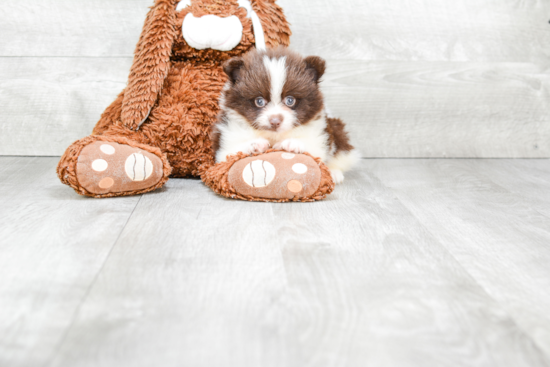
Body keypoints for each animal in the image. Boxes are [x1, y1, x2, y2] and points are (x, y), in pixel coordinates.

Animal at [212, 46, 362, 183]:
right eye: (259, 101)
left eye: (290, 100)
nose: (275, 121)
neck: (274, 136)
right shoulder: (226, 139)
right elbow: (229, 153)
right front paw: (255, 144)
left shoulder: (319, 133)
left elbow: (315, 148)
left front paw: (291, 143)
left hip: (337, 130)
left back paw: (334, 173)